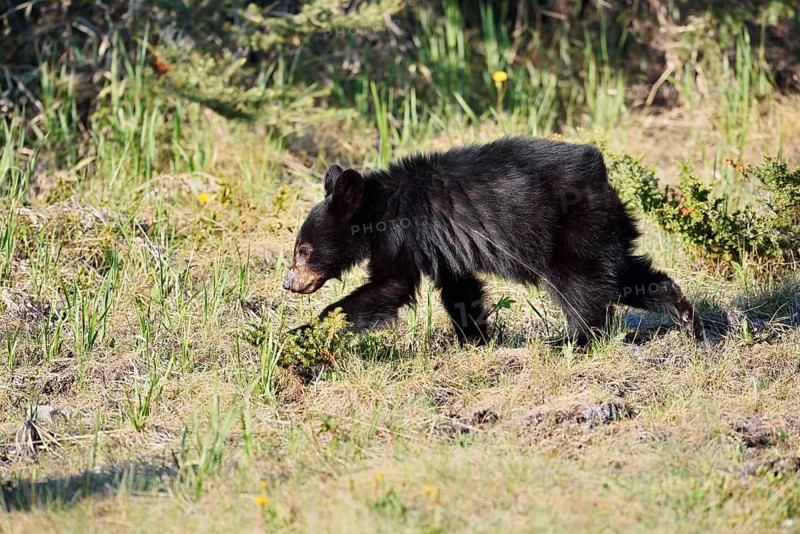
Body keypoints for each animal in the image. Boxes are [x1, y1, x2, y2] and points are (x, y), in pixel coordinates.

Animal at [282, 136, 704, 345]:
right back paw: (686, 316)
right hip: (604, 230)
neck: (376, 208)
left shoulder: (403, 235)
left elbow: (389, 286)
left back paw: (574, 340)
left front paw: (303, 332)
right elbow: (459, 288)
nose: (289, 283)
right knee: (625, 275)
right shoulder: (442, 245)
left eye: (303, 251)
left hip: (569, 231)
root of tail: (602, 177)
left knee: (581, 287)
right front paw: (475, 338)